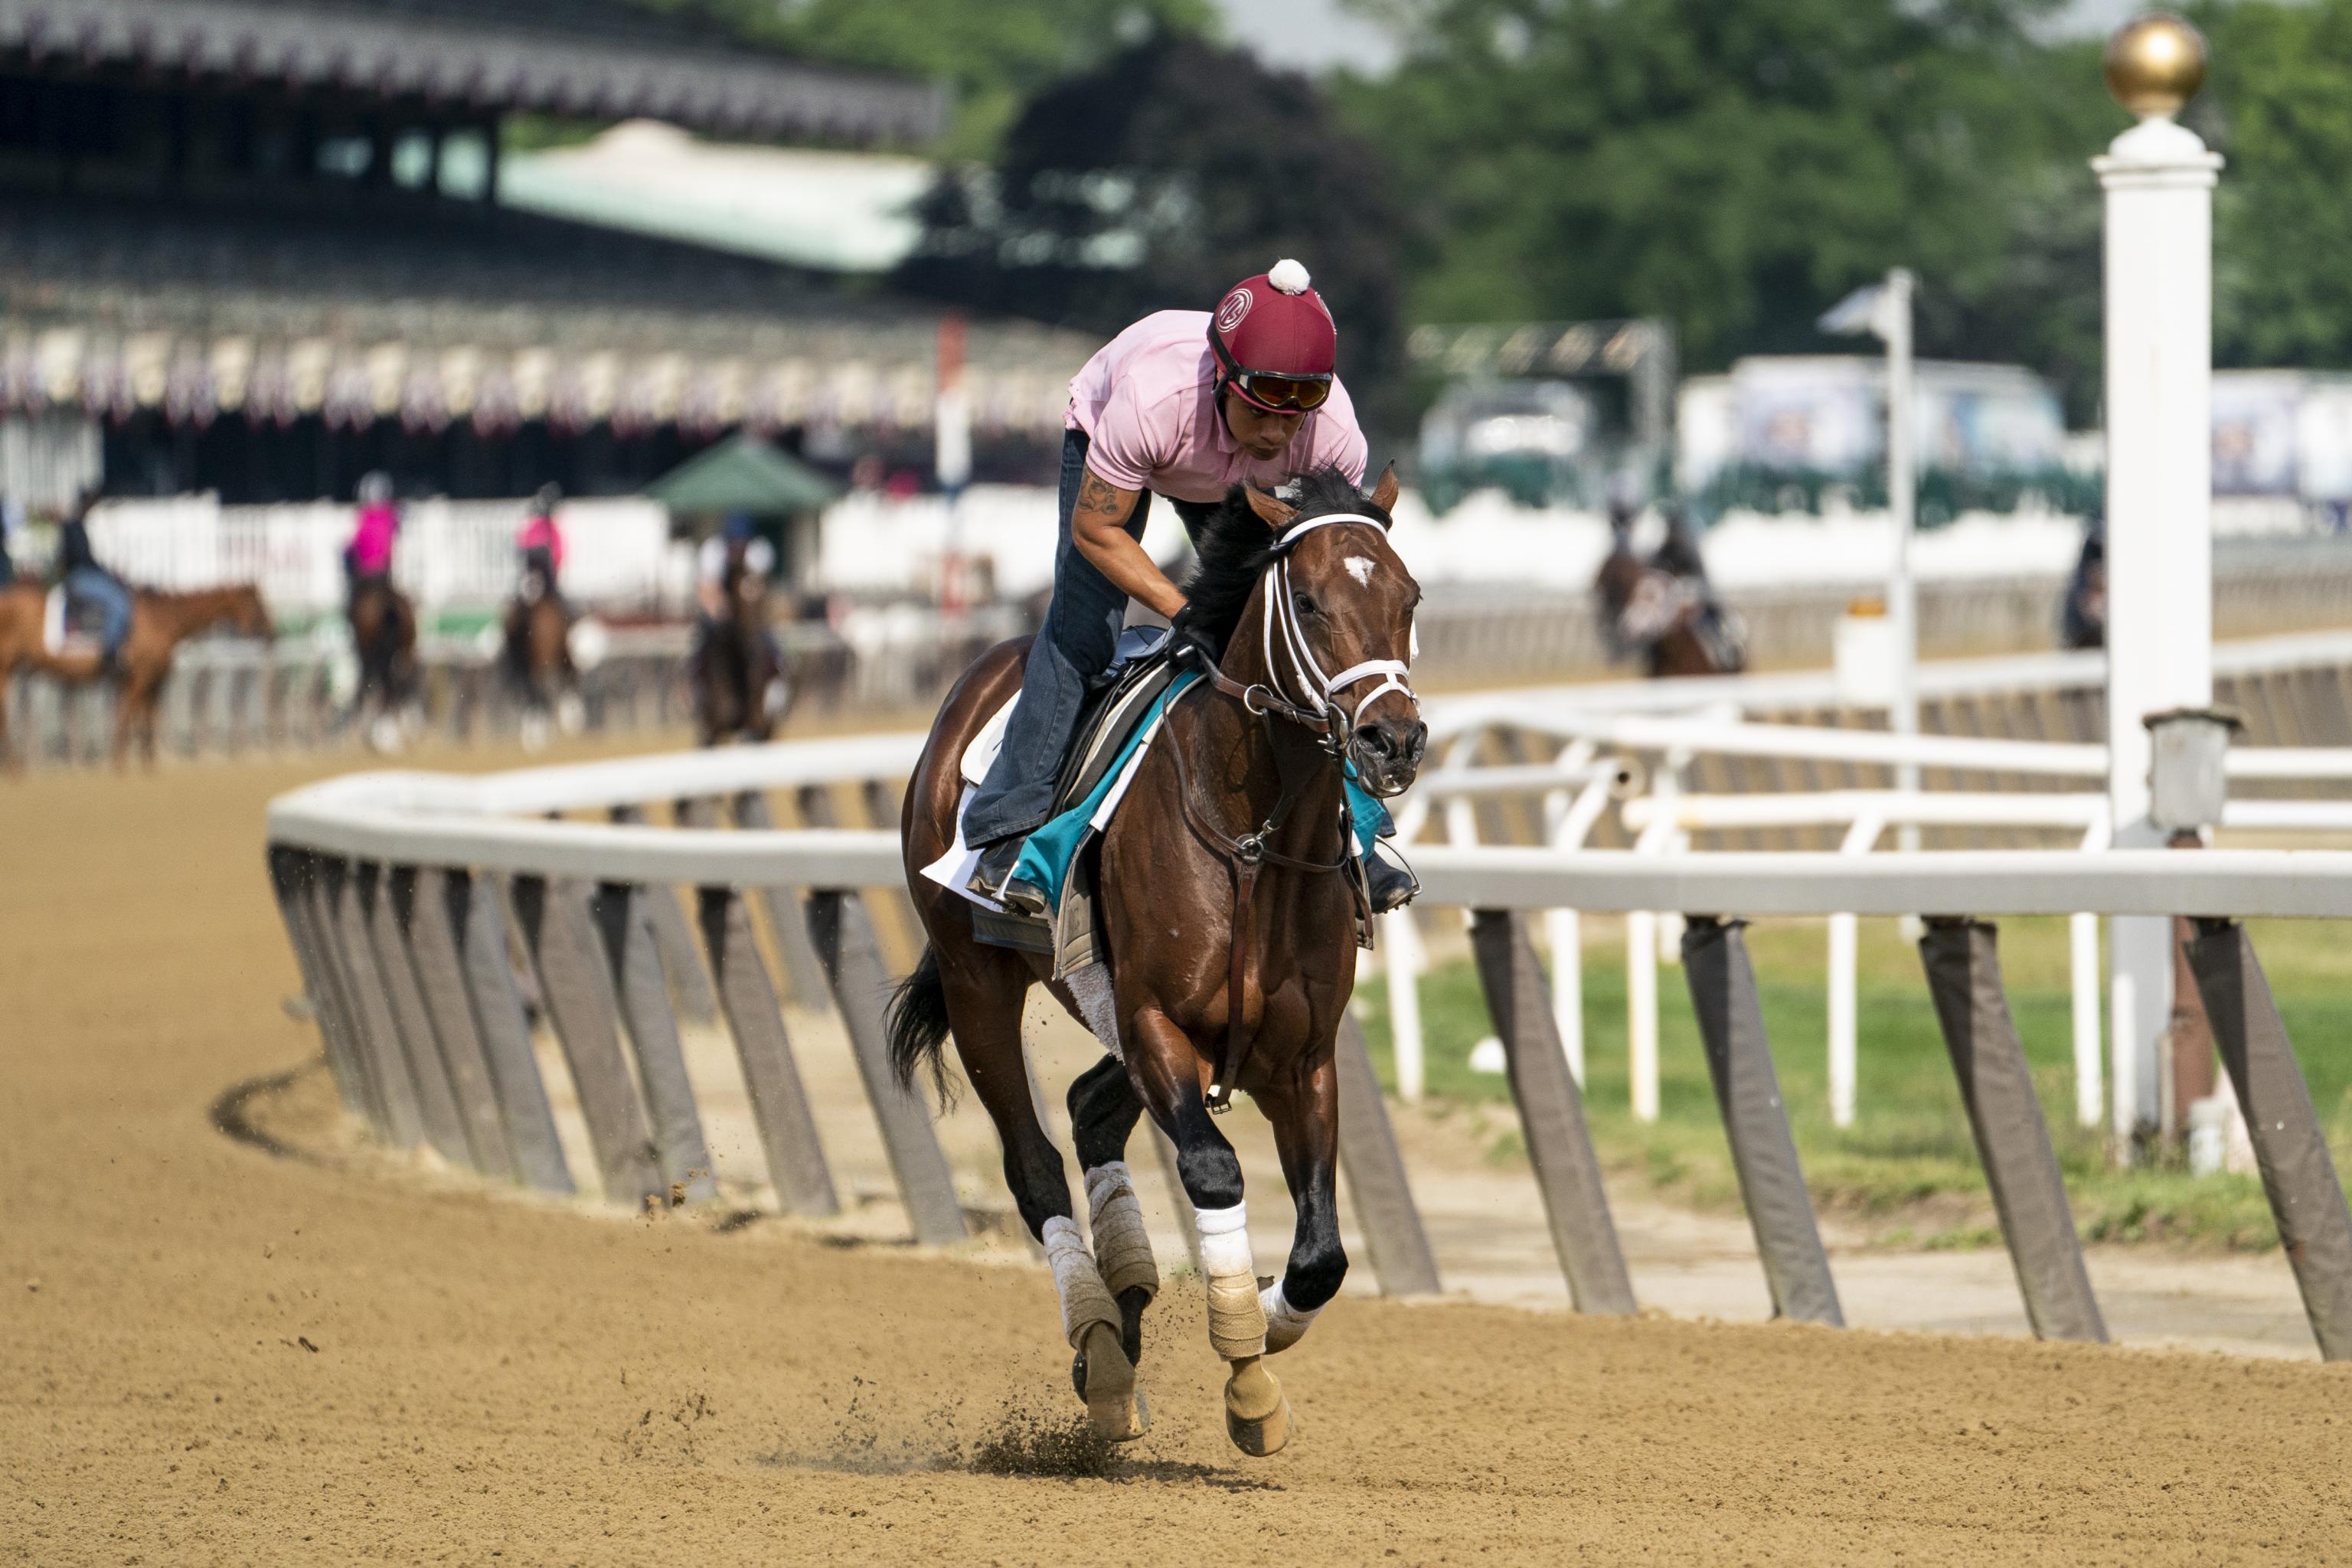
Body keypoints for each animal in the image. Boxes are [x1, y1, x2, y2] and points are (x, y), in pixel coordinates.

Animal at [0, 580, 273, 771]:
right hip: (6, 670)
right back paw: (14, 767)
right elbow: (128, 717)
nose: (270, 632)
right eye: (256, 603)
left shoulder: (149, 681)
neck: (162, 620)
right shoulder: (139, 678)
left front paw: (147, 764)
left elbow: (145, 719)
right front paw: (120, 763)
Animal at [889, 465, 1420, 1457]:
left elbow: (1322, 1256)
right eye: (1312, 602)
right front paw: (1247, 1374)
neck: (1256, 838)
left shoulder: (1298, 1054)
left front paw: (1260, 1322)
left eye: (1408, 598)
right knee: (1033, 1163)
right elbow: (1213, 1169)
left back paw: (1127, 1302)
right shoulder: (1155, 1021)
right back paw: (1100, 1341)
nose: (1393, 740)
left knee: (1091, 1108)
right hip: (980, 984)